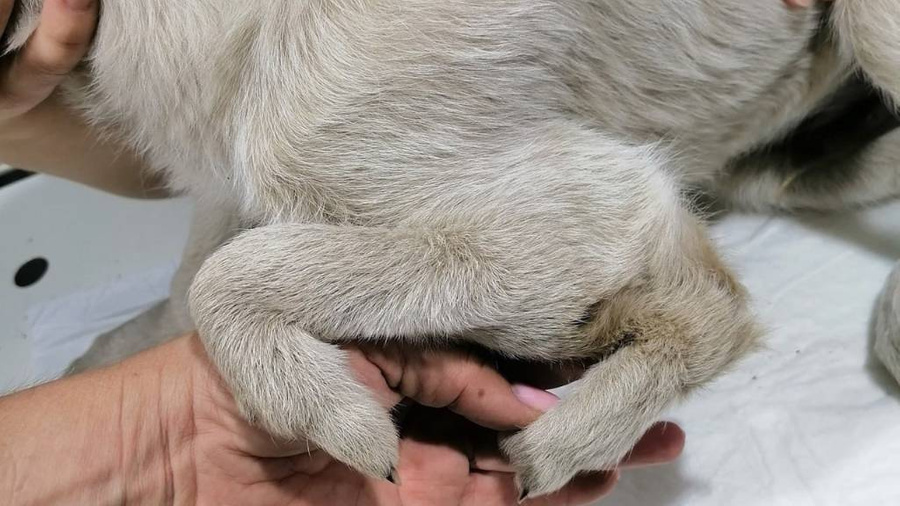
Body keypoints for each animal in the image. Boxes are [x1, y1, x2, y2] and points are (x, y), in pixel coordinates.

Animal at [8, 0, 900, 498]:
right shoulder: (224, 182)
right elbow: (187, 281)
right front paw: (98, 363)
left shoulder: (577, 211)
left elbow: (221, 281)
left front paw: (332, 413)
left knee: (719, 304)